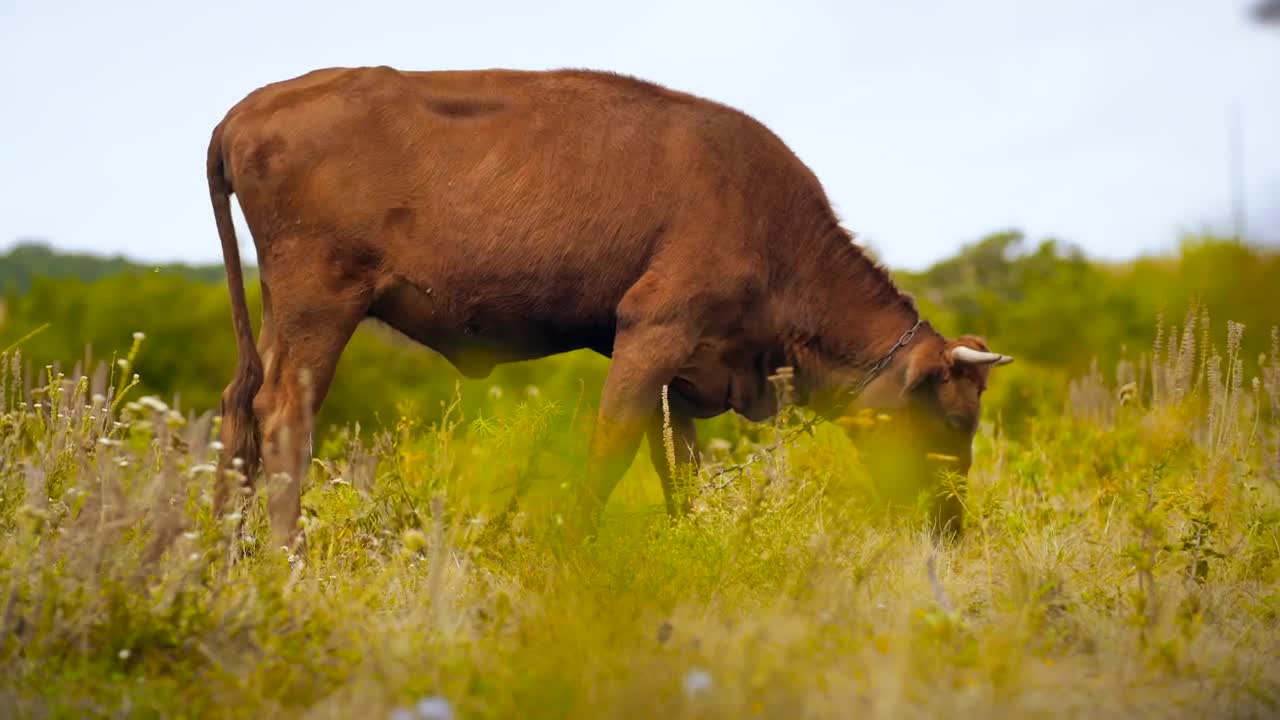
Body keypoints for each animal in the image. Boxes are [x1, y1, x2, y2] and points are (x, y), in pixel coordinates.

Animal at [206, 66, 1012, 550]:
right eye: (952, 418)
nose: (951, 523)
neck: (769, 225)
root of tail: (242, 113)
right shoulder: (651, 334)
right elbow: (612, 448)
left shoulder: (685, 373)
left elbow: (678, 469)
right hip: (321, 305)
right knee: (283, 415)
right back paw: (285, 553)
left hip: (280, 314)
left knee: (239, 405)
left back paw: (225, 553)